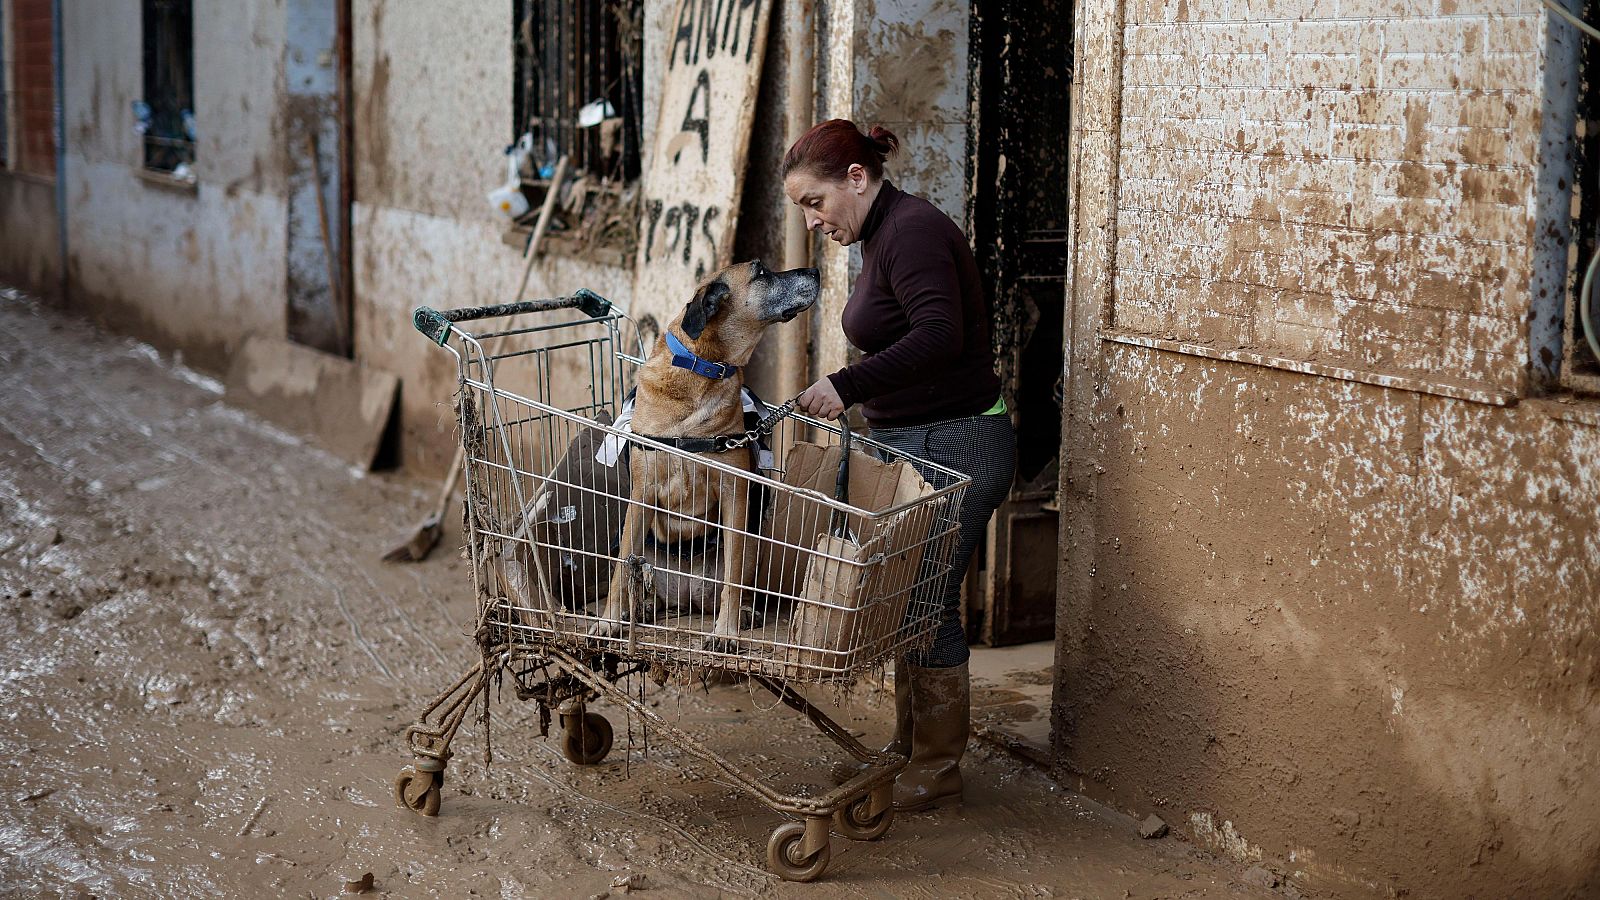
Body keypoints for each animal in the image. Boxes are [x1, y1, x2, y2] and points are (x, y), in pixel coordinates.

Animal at [588, 256, 819, 640]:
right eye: (761, 272)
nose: (816, 272)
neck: (701, 370)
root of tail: (686, 597)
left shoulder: (734, 494)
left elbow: (732, 578)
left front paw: (725, 632)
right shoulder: (642, 494)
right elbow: (621, 569)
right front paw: (608, 621)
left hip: (752, 542)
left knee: (736, 580)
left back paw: (742, 613)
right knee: (637, 571)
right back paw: (642, 607)